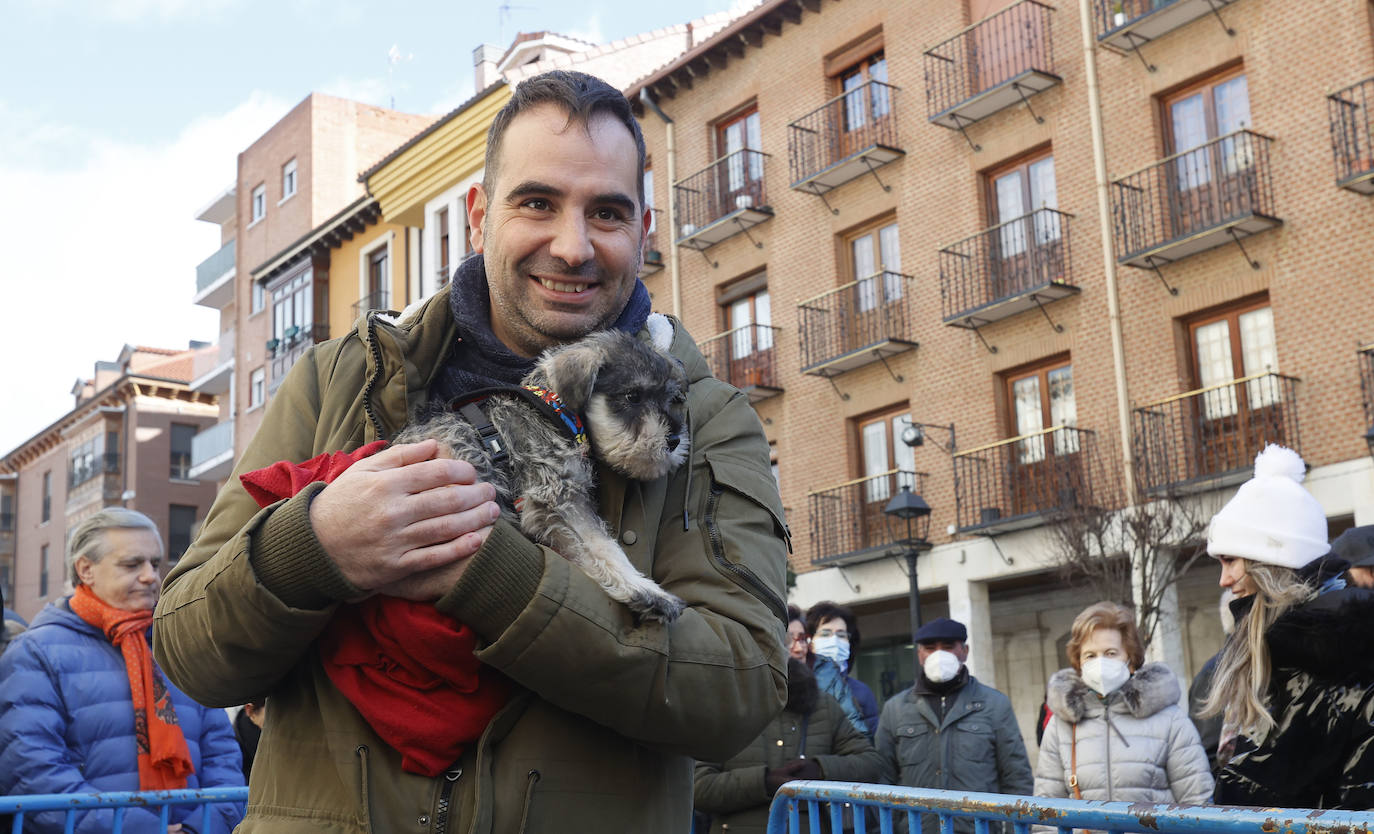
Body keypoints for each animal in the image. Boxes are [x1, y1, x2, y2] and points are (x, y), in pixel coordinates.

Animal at [398, 322, 692, 623]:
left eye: (670, 399)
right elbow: (602, 545)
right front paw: (649, 593)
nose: (674, 441)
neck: (553, 408)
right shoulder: (558, 497)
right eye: (633, 396)